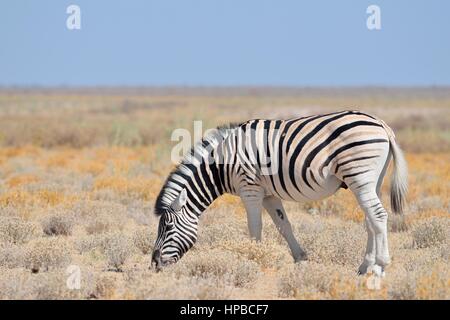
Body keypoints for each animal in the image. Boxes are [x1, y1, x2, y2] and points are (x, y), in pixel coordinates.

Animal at [151, 109, 408, 276]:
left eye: (168, 228)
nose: (153, 265)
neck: (221, 166)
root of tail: (380, 123)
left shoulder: (250, 189)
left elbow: (255, 227)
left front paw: (252, 258)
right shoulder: (269, 194)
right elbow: (284, 226)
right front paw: (300, 258)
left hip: (359, 175)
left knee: (378, 216)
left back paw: (380, 266)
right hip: (372, 180)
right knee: (370, 220)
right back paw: (365, 267)